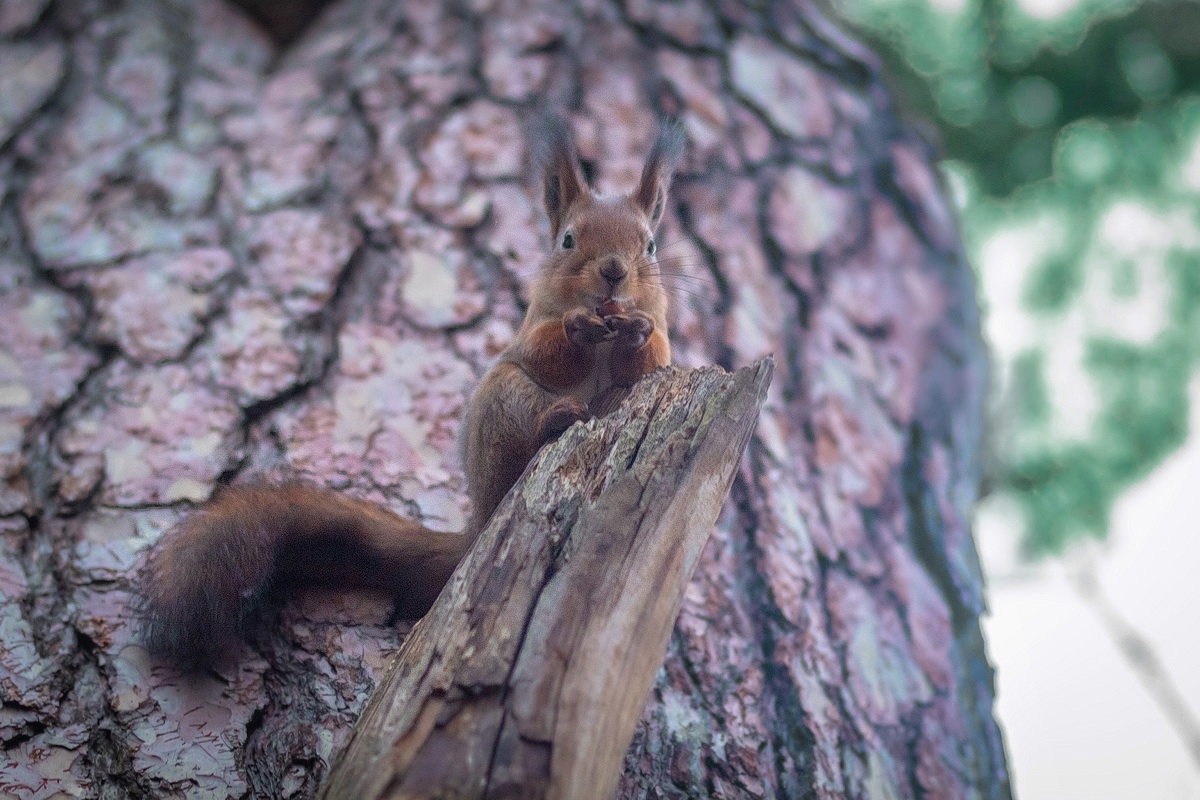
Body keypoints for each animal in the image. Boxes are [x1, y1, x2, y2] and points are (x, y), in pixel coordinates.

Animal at [137, 115, 686, 666]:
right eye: (568, 240)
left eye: (651, 245)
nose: (613, 272)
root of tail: (480, 523)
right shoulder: (531, 330)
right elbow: (544, 350)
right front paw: (578, 327)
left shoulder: (658, 350)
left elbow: (650, 363)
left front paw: (637, 332)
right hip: (501, 400)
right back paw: (554, 421)